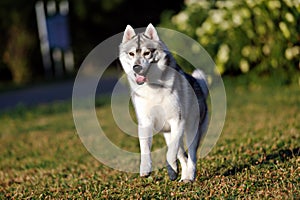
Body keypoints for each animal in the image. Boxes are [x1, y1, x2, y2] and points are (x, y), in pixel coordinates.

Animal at [118, 23, 207, 183]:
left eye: (147, 53)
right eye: (131, 54)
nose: (136, 67)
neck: (152, 87)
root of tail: (198, 84)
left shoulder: (177, 121)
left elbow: (170, 153)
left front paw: (172, 166)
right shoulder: (145, 122)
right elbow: (145, 149)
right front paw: (146, 169)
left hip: (191, 130)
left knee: (191, 155)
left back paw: (189, 176)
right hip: (168, 133)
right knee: (182, 155)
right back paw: (178, 173)